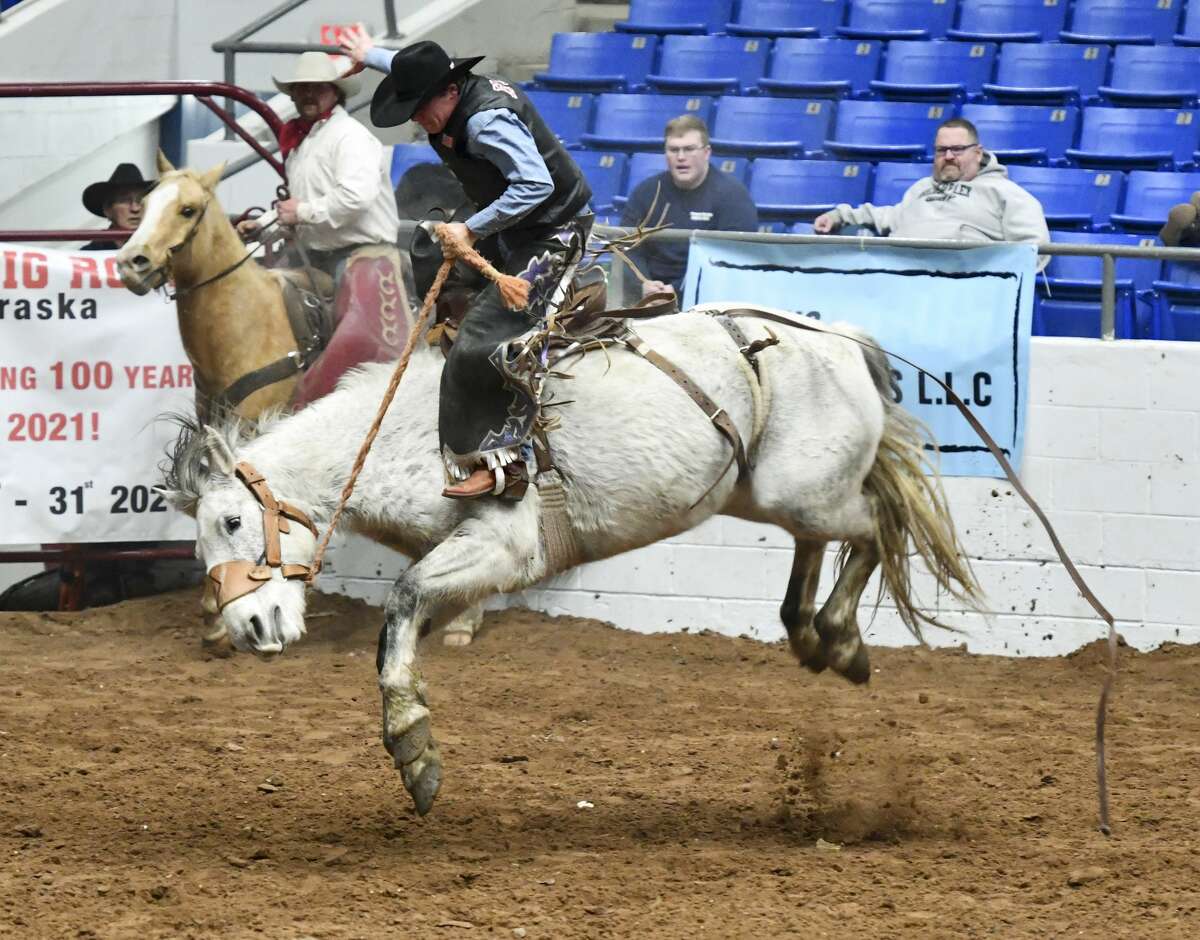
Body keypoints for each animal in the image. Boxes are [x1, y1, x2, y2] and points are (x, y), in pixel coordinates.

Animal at [159, 303, 984, 816]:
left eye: (233, 519)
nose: (251, 628)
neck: (406, 434)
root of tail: (837, 337)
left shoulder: (503, 545)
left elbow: (400, 605)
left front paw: (414, 751)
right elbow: (413, 613)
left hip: (804, 491)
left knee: (876, 525)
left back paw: (841, 639)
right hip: (768, 493)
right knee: (824, 544)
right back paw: (813, 636)